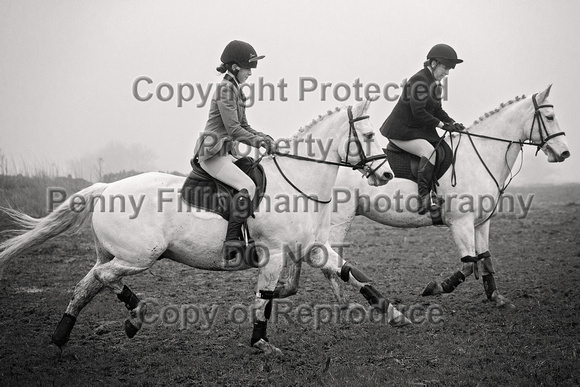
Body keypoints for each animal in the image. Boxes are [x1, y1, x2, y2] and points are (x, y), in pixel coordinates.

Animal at [0, 101, 410, 358]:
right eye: (369, 135)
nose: (386, 176)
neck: (297, 180)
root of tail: (106, 189)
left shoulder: (313, 248)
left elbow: (353, 274)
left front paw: (395, 315)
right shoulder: (275, 253)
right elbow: (263, 298)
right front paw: (261, 344)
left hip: (115, 253)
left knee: (88, 284)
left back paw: (61, 337)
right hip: (139, 255)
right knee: (103, 278)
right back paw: (135, 315)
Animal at [326, 85, 572, 310]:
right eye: (549, 117)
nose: (565, 153)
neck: (479, 157)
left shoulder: (481, 222)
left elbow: (485, 258)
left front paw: (496, 297)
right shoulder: (461, 223)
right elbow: (468, 265)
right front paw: (435, 287)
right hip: (339, 219)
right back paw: (345, 301)